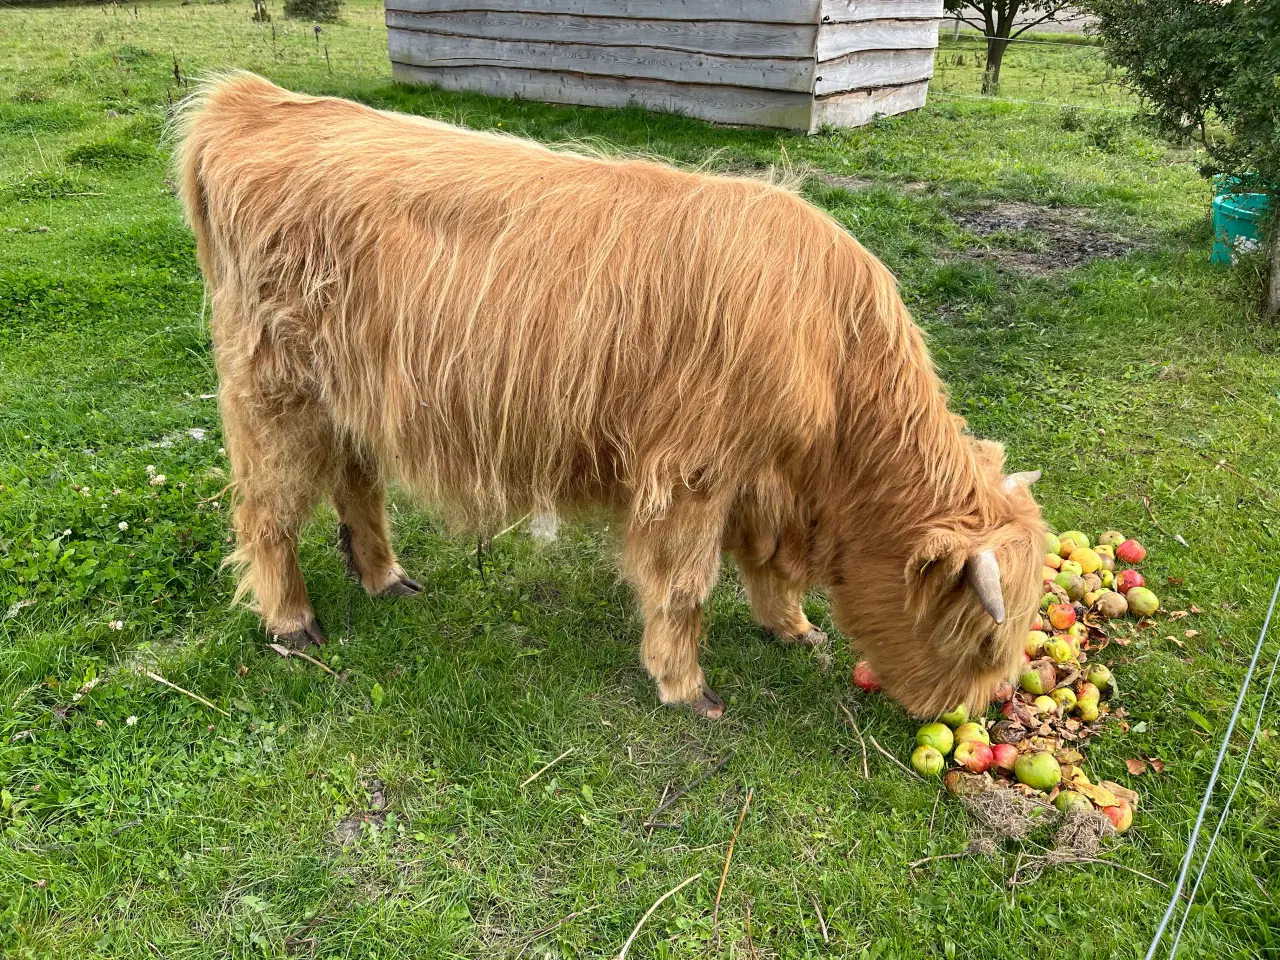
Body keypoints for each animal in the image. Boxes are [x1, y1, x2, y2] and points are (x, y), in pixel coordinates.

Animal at [177, 73, 1039, 721]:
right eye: (981, 642)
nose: (968, 712)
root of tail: (252, 100)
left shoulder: (759, 477)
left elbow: (766, 567)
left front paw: (792, 627)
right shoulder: (692, 471)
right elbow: (685, 584)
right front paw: (685, 686)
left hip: (351, 391)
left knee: (356, 479)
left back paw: (384, 575)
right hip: (272, 388)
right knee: (267, 509)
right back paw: (292, 621)